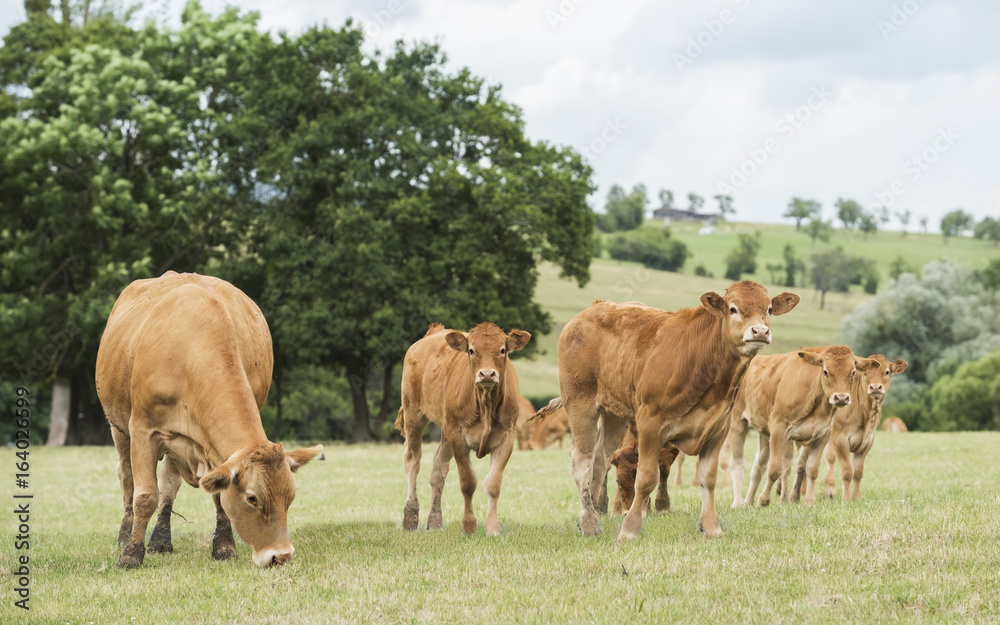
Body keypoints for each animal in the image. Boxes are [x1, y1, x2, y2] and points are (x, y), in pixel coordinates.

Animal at [93, 270, 320, 568]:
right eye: (252, 498)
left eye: (291, 496)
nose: (280, 555)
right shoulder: (143, 430)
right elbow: (144, 495)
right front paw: (130, 555)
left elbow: (216, 496)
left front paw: (224, 546)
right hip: (118, 428)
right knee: (127, 478)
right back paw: (125, 534)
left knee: (169, 485)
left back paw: (161, 539)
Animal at [394, 324, 532, 532]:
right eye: (471, 350)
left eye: (502, 350)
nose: (487, 374)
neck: (485, 404)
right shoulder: (458, 438)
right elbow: (468, 482)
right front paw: (468, 526)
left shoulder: (507, 438)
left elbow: (493, 484)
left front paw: (492, 528)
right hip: (414, 413)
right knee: (412, 460)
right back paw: (410, 516)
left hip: (446, 429)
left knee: (438, 469)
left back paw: (435, 521)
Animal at [556, 280, 796, 540]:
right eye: (733, 308)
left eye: (769, 309)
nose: (759, 331)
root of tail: (590, 311)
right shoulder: (650, 423)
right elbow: (646, 478)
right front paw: (629, 528)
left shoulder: (718, 428)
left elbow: (707, 478)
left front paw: (711, 526)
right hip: (580, 400)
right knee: (582, 460)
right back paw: (589, 522)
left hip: (614, 413)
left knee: (600, 458)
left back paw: (592, 515)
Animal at [724, 346, 880, 508]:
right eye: (825, 371)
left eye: (853, 372)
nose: (841, 398)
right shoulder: (779, 428)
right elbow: (775, 469)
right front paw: (764, 499)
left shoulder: (822, 434)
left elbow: (811, 469)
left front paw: (809, 500)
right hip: (737, 423)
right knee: (737, 463)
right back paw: (737, 502)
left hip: (764, 432)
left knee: (758, 466)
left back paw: (748, 501)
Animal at [820, 356, 908, 498]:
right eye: (865, 373)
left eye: (887, 372)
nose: (875, 387)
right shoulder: (841, 439)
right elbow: (847, 471)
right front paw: (846, 498)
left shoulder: (867, 442)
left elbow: (858, 472)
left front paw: (856, 497)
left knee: (829, 458)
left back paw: (829, 491)